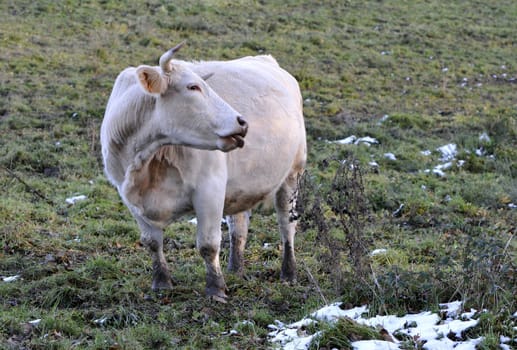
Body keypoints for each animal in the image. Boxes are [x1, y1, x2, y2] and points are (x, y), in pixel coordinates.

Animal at [99, 43, 304, 300]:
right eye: (193, 87)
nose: (242, 122)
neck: (147, 160)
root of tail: (267, 60)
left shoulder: (209, 188)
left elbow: (208, 244)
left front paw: (216, 289)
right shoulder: (128, 196)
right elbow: (152, 242)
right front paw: (161, 283)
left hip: (293, 173)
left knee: (286, 224)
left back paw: (289, 273)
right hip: (240, 187)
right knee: (238, 226)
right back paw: (236, 270)